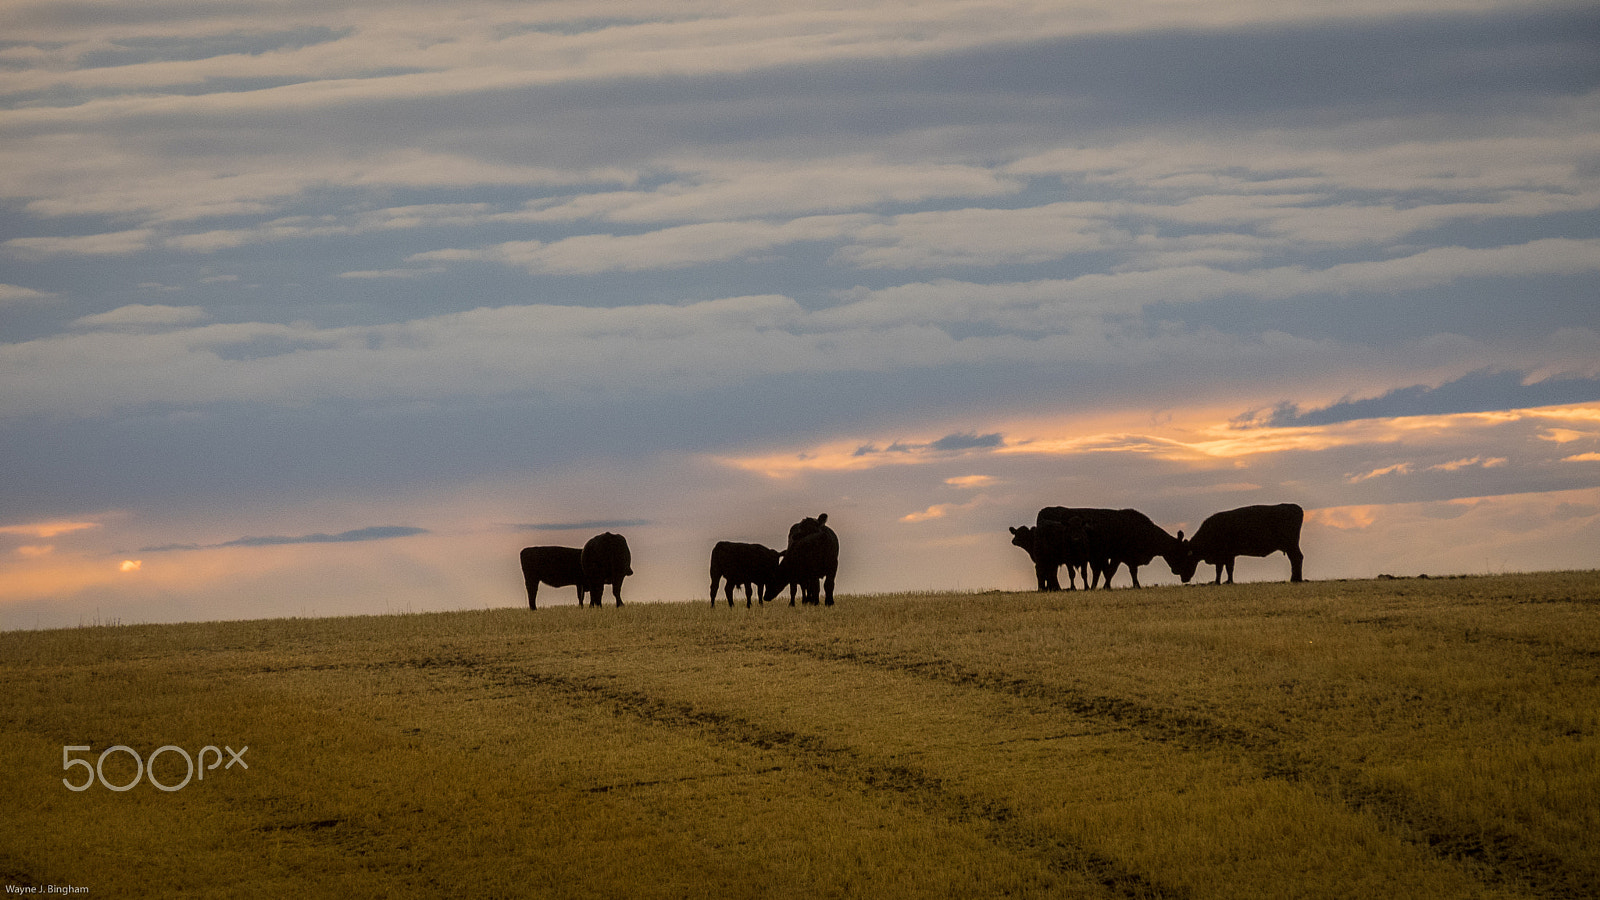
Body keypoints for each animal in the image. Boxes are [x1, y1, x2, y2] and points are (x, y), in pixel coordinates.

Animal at [1171, 503, 1305, 584]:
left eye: (1183, 559)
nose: (1183, 578)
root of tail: (1295, 507)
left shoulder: (1225, 555)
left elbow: (1223, 569)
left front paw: (1221, 581)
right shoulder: (1227, 556)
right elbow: (1226, 569)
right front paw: (1224, 581)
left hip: (1291, 545)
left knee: (1297, 558)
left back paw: (1296, 579)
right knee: (1295, 559)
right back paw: (1296, 578)